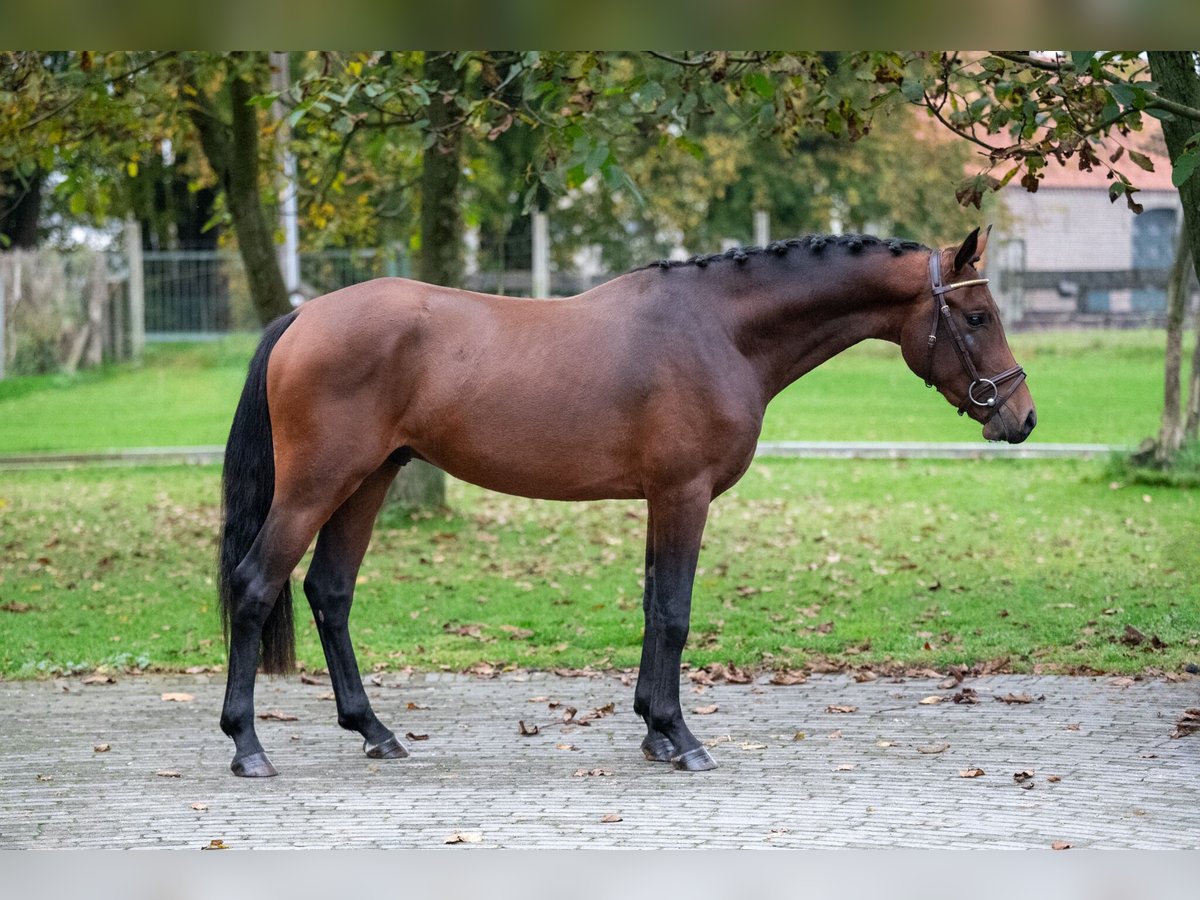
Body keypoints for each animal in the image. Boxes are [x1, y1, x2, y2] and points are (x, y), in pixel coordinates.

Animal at [220, 229, 1036, 777]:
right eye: (975, 318)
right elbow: (673, 613)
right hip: (318, 486)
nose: (1021, 418)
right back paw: (248, 747)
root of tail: (303, 318)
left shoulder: (660, 499)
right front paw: (683, 738)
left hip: (370, 482)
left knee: (330, 593)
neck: (719, 331)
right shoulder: (684, 495)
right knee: (255, 586)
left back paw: (375, 732)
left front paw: (654, 732)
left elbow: (651, 608)